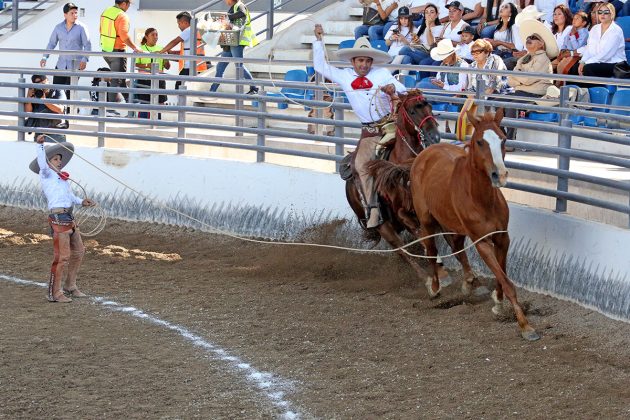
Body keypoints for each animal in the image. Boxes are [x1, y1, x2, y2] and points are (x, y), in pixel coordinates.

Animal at [346, 89, 440, 286]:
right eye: (413, 111)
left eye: (429, 106)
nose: (434, 136)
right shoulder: (402, 213)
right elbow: (421, 236)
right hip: (383, 225)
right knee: (401, 250)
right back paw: (426, 278)